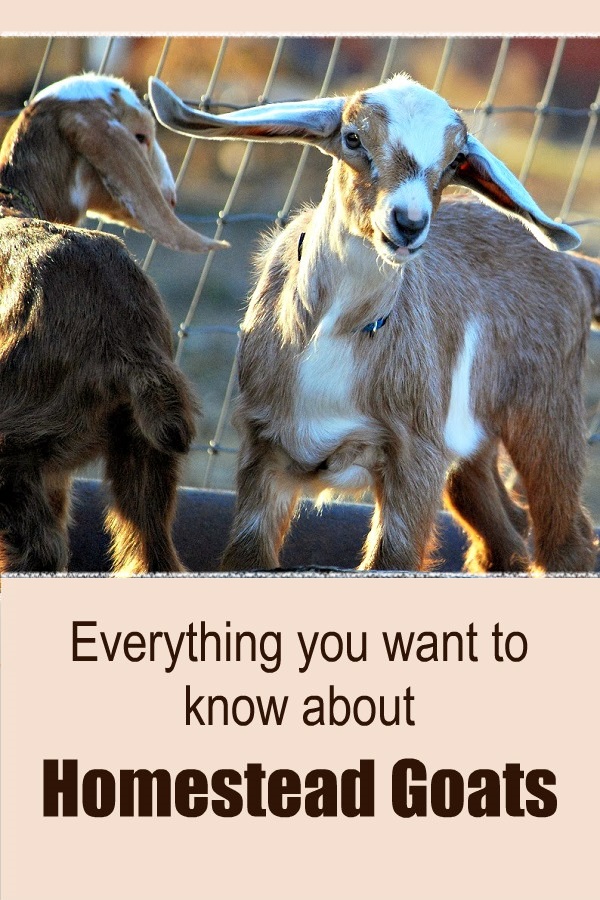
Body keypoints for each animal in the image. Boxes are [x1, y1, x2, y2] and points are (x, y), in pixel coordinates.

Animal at [0, 73, 227, 573]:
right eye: (140, 136)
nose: (172, 198)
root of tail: (125, 339)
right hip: (143, 447)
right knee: (152, 552)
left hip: (20, 442)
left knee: (39, 554)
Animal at [150, 74, 600, 573]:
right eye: (352, 138)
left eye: (455, 161)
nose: (409, 222)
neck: (334, 330)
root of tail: (576, 266)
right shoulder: (263, 450)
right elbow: (245, 554)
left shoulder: (415, 454)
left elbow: (394, 556)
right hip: (475, 438)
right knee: (501, 529)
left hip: (545, 408)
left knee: (566, 536)